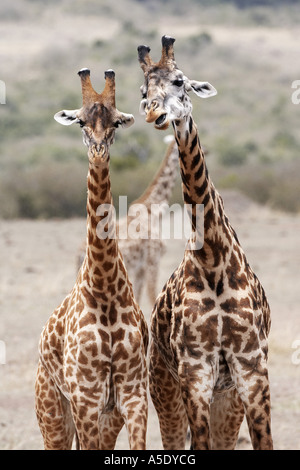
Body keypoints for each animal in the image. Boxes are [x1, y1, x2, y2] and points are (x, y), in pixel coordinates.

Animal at [34, 68, 149, 450]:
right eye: (81, 121)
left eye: (115, 122)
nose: (98, 151)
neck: (105, 288)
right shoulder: (85, 397)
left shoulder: (132, 394)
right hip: (52, 412)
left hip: (104, 416)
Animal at [77, 136, 179, 306]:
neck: (154, 212)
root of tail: (79, 252)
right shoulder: (152, 261)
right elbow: (152, 297)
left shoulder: (140, 268)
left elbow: (138, 297)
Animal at [137, 35, 274, 450]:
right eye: (143, 90)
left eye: (180, 81)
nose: (154, 113)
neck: (213, 257)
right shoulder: (195, 373)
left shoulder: (251, 369)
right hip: (164, 387)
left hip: (225, 398)